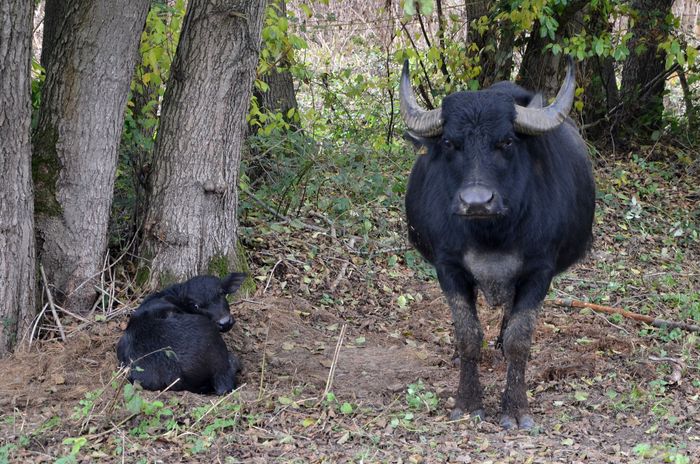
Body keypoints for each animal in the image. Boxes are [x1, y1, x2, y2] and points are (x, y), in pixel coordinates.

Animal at [402, 59, 592, 432]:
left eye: (506, 141)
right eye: (450, 142)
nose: (476, 202)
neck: (492, 233)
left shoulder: (539, 271)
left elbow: (520, 338)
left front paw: (516, 408)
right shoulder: (448, 267)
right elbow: (468, 334)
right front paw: (467, 402)